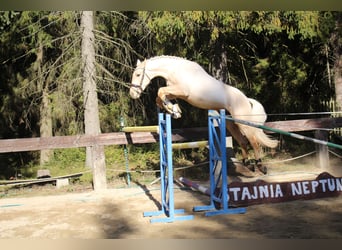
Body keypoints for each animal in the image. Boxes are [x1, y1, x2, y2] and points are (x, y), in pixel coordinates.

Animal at [130, 55, 276, 173]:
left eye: (138, 75)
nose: (132, 94)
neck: (176, 70)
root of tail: (246, 100)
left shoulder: (183, 91)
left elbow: (160, 91)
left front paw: (174, 110)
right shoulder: (176, 92)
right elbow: (160, 97)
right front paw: (174, 110)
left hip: (242, 122)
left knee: (254, 142)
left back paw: (260, 166)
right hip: (231, 123)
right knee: (243, 141)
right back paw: (248, 164)